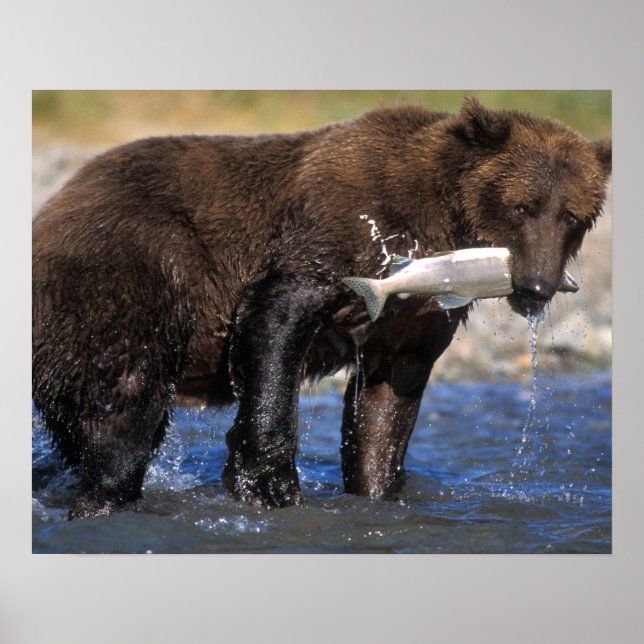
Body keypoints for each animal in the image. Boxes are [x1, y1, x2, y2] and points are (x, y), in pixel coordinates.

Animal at [32, 97, 612, 518]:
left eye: (572, 215)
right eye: (523, 207)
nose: (537, 286)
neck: (441, 223)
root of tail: (52, 208)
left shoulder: (414, 320)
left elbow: (387, 401)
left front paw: (375, 488)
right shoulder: (344, 228)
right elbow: (277, 317)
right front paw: (268, 483)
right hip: (130, 279)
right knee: (126, 411)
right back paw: (105, 498)